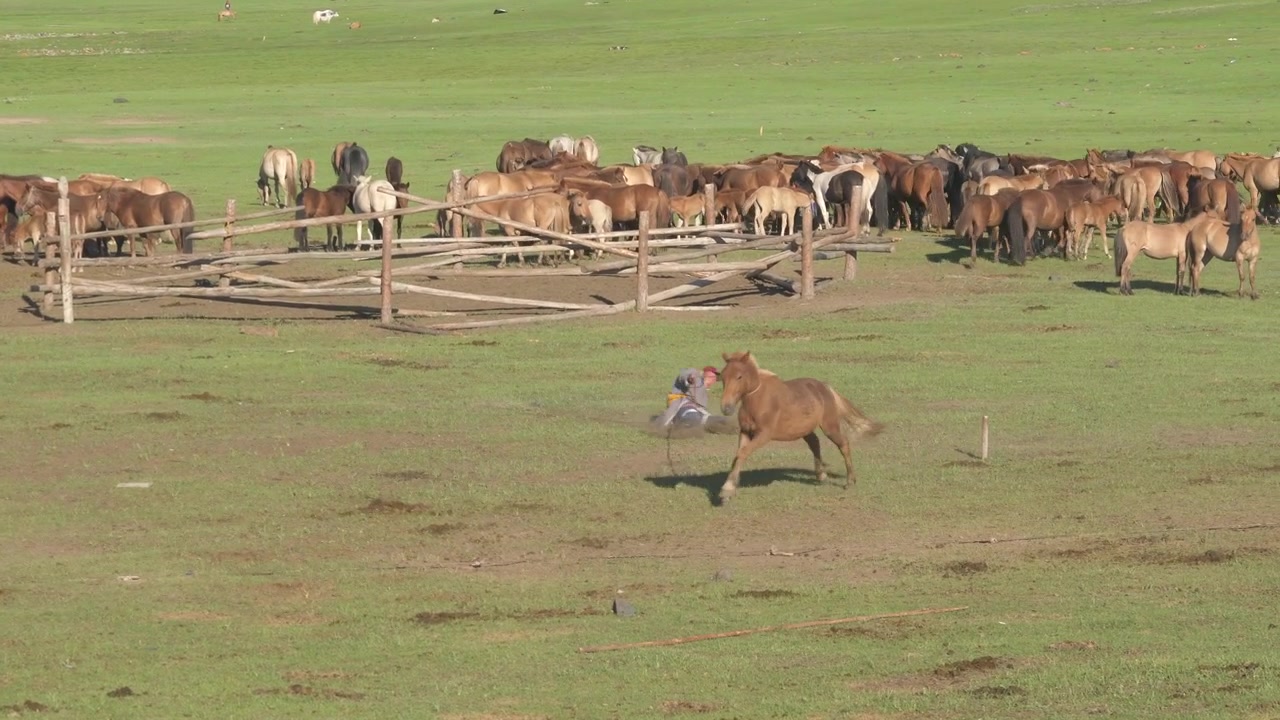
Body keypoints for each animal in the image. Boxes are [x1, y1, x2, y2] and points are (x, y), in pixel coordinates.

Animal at [715, 351, 882, 504]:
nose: (726, 408)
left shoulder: (763, 435)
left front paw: (726, 490)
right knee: (815, 443)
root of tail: (825, 387)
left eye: (739, 376)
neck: (758, 400)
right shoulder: (745, 432)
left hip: (829, 426)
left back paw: (849, 481)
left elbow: (743, 453)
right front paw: (730, 489)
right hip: (804, 429)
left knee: (843, 444)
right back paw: (821, 475)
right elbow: (738, 455)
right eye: (722, 376)